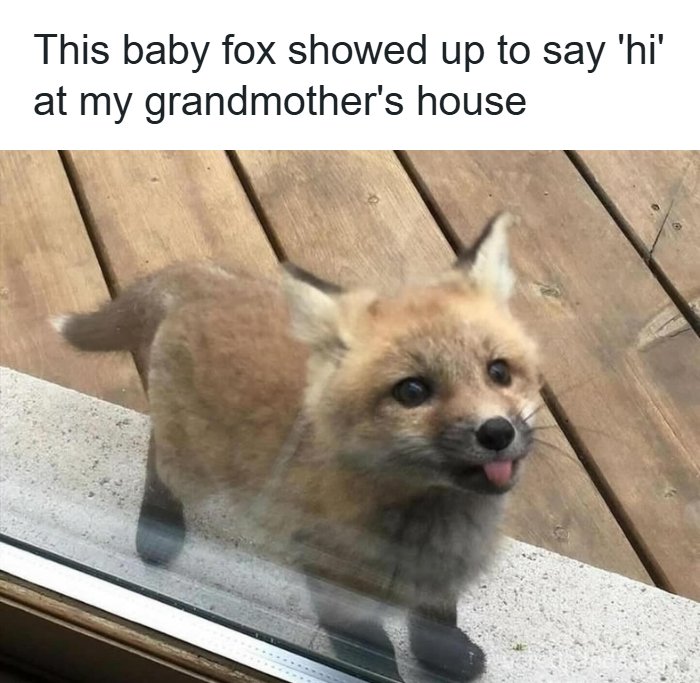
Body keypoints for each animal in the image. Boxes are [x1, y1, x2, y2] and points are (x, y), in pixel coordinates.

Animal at [54, 212, 541, 682]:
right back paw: (159, 526)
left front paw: (447, 658)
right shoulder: (336, 590)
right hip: (193, 467)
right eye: (412, 391)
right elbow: (375, 658)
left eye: (499, 371)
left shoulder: (439, 582)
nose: (496, 432)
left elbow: (436, 623)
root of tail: (207, 281)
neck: (431, 527)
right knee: (158, 461)